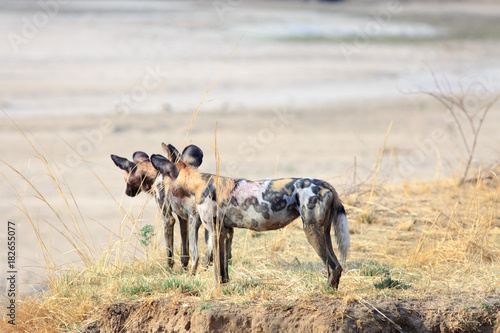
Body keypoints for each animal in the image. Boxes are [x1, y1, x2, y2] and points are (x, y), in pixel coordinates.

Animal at [110, 144, 208, 274]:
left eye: (125, 180)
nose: (127, 192)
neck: (156, 174)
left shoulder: (168, 218)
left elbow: (169, 253)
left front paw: (169, 271)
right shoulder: (183, 218)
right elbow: (184, 253)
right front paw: (184, 269)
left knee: (197, 256)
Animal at [150, 145, 350, 288]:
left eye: (162, 182)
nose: (155, 190)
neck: (197, 182)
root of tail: (326, 184)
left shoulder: (214, 231)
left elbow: (216, 268)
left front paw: (216, 287)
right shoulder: (225, 232)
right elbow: (224, 267)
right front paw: (225, 285)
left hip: (311, 231)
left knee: (332, 267)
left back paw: (325, 291)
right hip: (323, 232)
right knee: (337, 266)